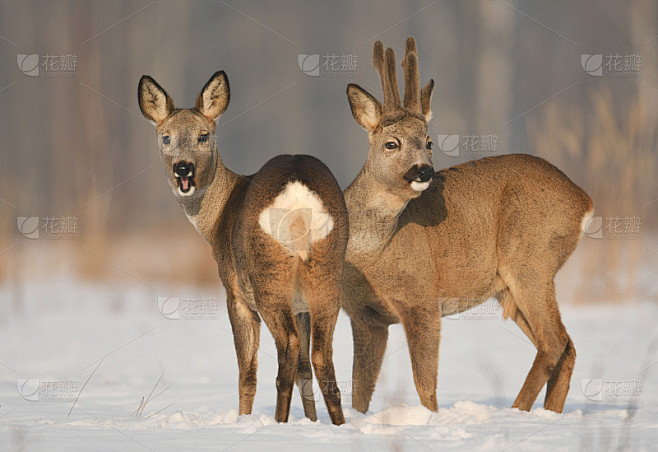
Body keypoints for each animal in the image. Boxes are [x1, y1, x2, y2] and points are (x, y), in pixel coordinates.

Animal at [138, 69, 348, 424]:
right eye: (165, 137)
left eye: (204, 136)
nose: (183, 168)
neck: (217, 219)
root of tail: (297, 197)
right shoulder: (301, 304)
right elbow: (305, 370)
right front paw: (311, 422)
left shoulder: (234, 292)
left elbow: (246, 372)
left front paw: (243, 419)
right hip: (327, 271)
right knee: (321, 358)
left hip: (267, 278)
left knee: (288, 350)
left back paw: (277, 422)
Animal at [340, 38, 592, 414]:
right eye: (391, 143)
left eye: (429, 141)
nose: (423, 171)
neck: (370, 252)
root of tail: (583, 200)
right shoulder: (364, 316)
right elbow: (359, 391)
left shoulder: (422, 298)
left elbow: (425, 385)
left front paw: (430, 419)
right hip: (509, 286)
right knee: (567, 346)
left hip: (531, 260)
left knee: (554, 341)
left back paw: (516, 411)